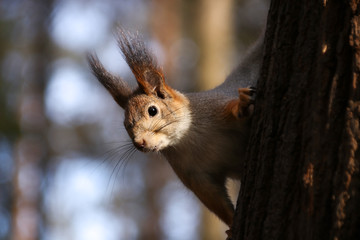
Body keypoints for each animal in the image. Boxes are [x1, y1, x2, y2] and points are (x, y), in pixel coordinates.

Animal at [87, 28, 262, 236]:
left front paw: (241, 105)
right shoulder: (195, 176)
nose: (139, 143)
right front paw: (232, 225)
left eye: (152, 110)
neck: (188, 139)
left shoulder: (216, 106)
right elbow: (215, 200)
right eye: (125, 125)